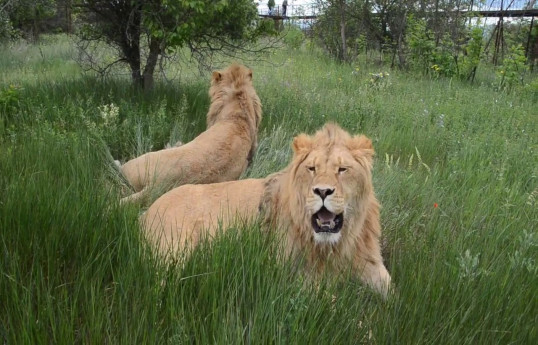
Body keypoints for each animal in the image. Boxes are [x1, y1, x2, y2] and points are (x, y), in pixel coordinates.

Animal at [144, 122, 390, 294]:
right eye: (311, 168)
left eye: (342, 169)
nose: (322, 191)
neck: (339, 243)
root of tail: (148, 210)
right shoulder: (296, 273)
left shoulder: (370, 263)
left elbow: (392, 295)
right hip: (174, 251)